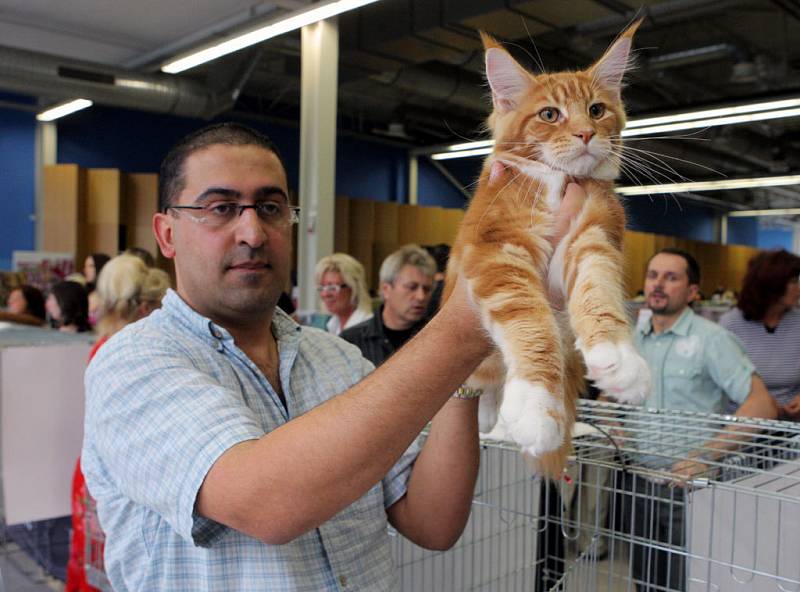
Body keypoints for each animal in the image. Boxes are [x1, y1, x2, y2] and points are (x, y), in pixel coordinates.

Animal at [444, 20, 648, 478]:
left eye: (596, 110)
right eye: (549, 115)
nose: (586, 133)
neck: (558, 181)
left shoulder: (593, 233)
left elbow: (598, 291)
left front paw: (616, 355)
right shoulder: (498, 249)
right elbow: (530, 323)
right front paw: (538, 408)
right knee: (485, 382)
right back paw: (491, 412)